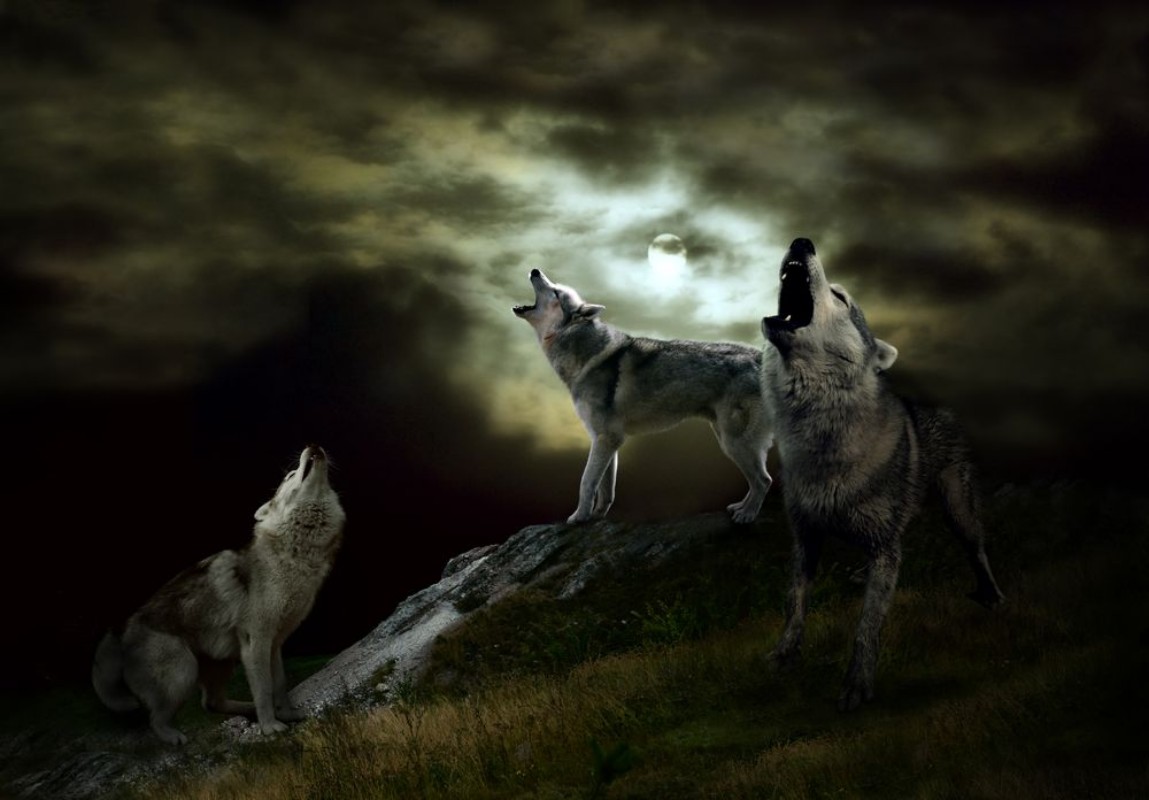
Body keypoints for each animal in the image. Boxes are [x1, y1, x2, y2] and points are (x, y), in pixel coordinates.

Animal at [91, 445, 345, 744]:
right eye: (291, 475)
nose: (314, 446)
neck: (296, 553)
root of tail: (121, 630)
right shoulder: (255, 642)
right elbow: (264, 689)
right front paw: (270, 727)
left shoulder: (274, 643)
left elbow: (279, 685)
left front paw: (287, 714)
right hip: (184, 671)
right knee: (156, 719)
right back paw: (174, 737)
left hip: (222, 663)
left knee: (210, 703)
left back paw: (246, 709)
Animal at [514, 268, 773, 524]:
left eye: (556, 292)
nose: (535, 270)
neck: (585, 356)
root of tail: (759, 357)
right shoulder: (608, 440)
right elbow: (606, 489)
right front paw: (596, 516)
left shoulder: (606, 437)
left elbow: (586, 482)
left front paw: (578, 517)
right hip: (728, 440)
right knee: (760, 480)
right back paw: (740, 507)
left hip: (734, 443)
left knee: (764, 481)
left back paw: (747, 514)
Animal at [760, 238, 1004, 711]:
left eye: (840, 297)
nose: (802, 242)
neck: (822, 439)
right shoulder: (806, 537)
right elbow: (794, 602)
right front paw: (783, 656)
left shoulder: (884, 546)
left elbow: (867, 624)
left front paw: (857, 686)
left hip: (958, 509)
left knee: (977, 549)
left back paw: (991, 596)